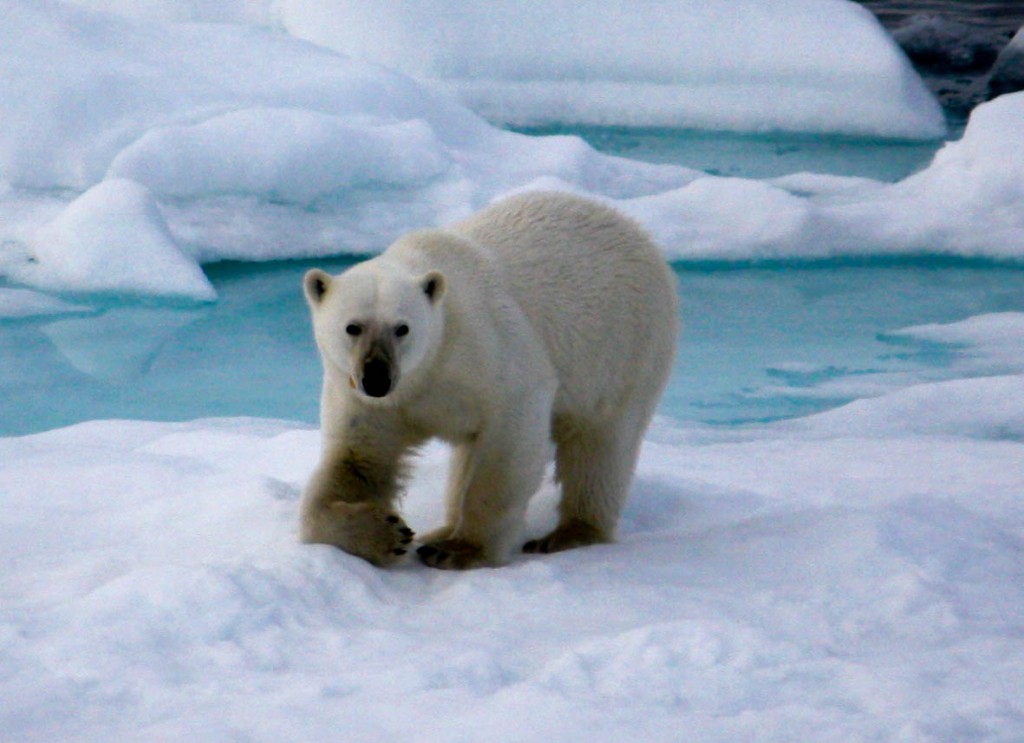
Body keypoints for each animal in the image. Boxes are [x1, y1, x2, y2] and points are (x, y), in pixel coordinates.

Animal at [299, 191, 678, 569]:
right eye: (352, 327)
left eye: (402, 328)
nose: (376, 379)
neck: (428, 367)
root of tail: (632, 227)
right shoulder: (366, 400)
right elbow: (358, 460)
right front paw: (387, 534)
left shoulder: (487, 351)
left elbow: (507, 445)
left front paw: (461, 550)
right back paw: (440, 529)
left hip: (623, 345)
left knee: (600, 444)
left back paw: (568, 533)